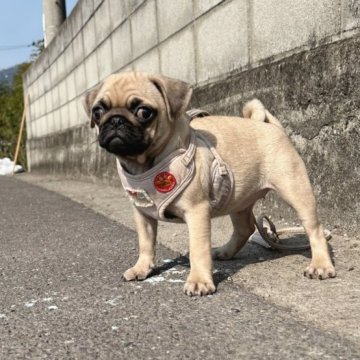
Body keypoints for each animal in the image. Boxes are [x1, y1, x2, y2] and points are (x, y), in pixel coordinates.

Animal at [83, 71, 334, 296]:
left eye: (144, 112)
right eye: (97, 111)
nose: (115, 120)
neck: (146, 163)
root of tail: (268, 125)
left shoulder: (197, 212)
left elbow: (198, 249)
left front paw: (199, 281)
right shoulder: (143, 214)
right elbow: (146, 244)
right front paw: (141, 269)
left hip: (295, 189)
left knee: (314, 229)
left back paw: (321, 265)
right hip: (239, 199)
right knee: (245, 228)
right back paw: (225, 251)